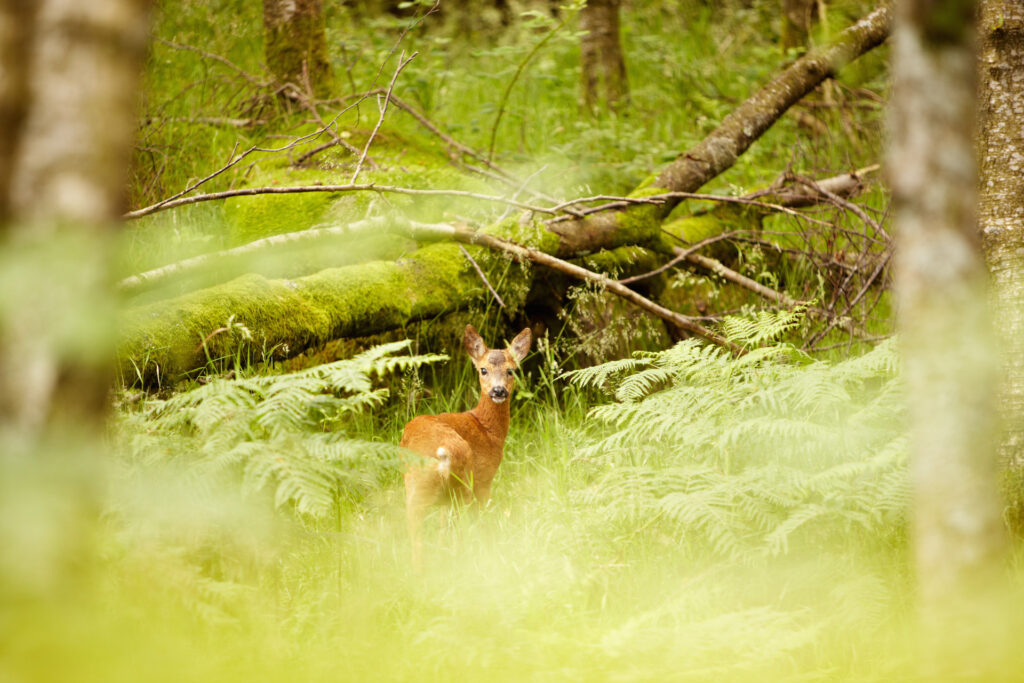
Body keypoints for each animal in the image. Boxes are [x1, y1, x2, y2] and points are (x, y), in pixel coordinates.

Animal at [399, 325, 532, 565]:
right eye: (483, 370)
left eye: (511, 370)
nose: (499, 391)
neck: (487, 429)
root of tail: (442, 455)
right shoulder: (485, 478)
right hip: (464, 485)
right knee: (464, 531)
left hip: (415, 487)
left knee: (419, 540)